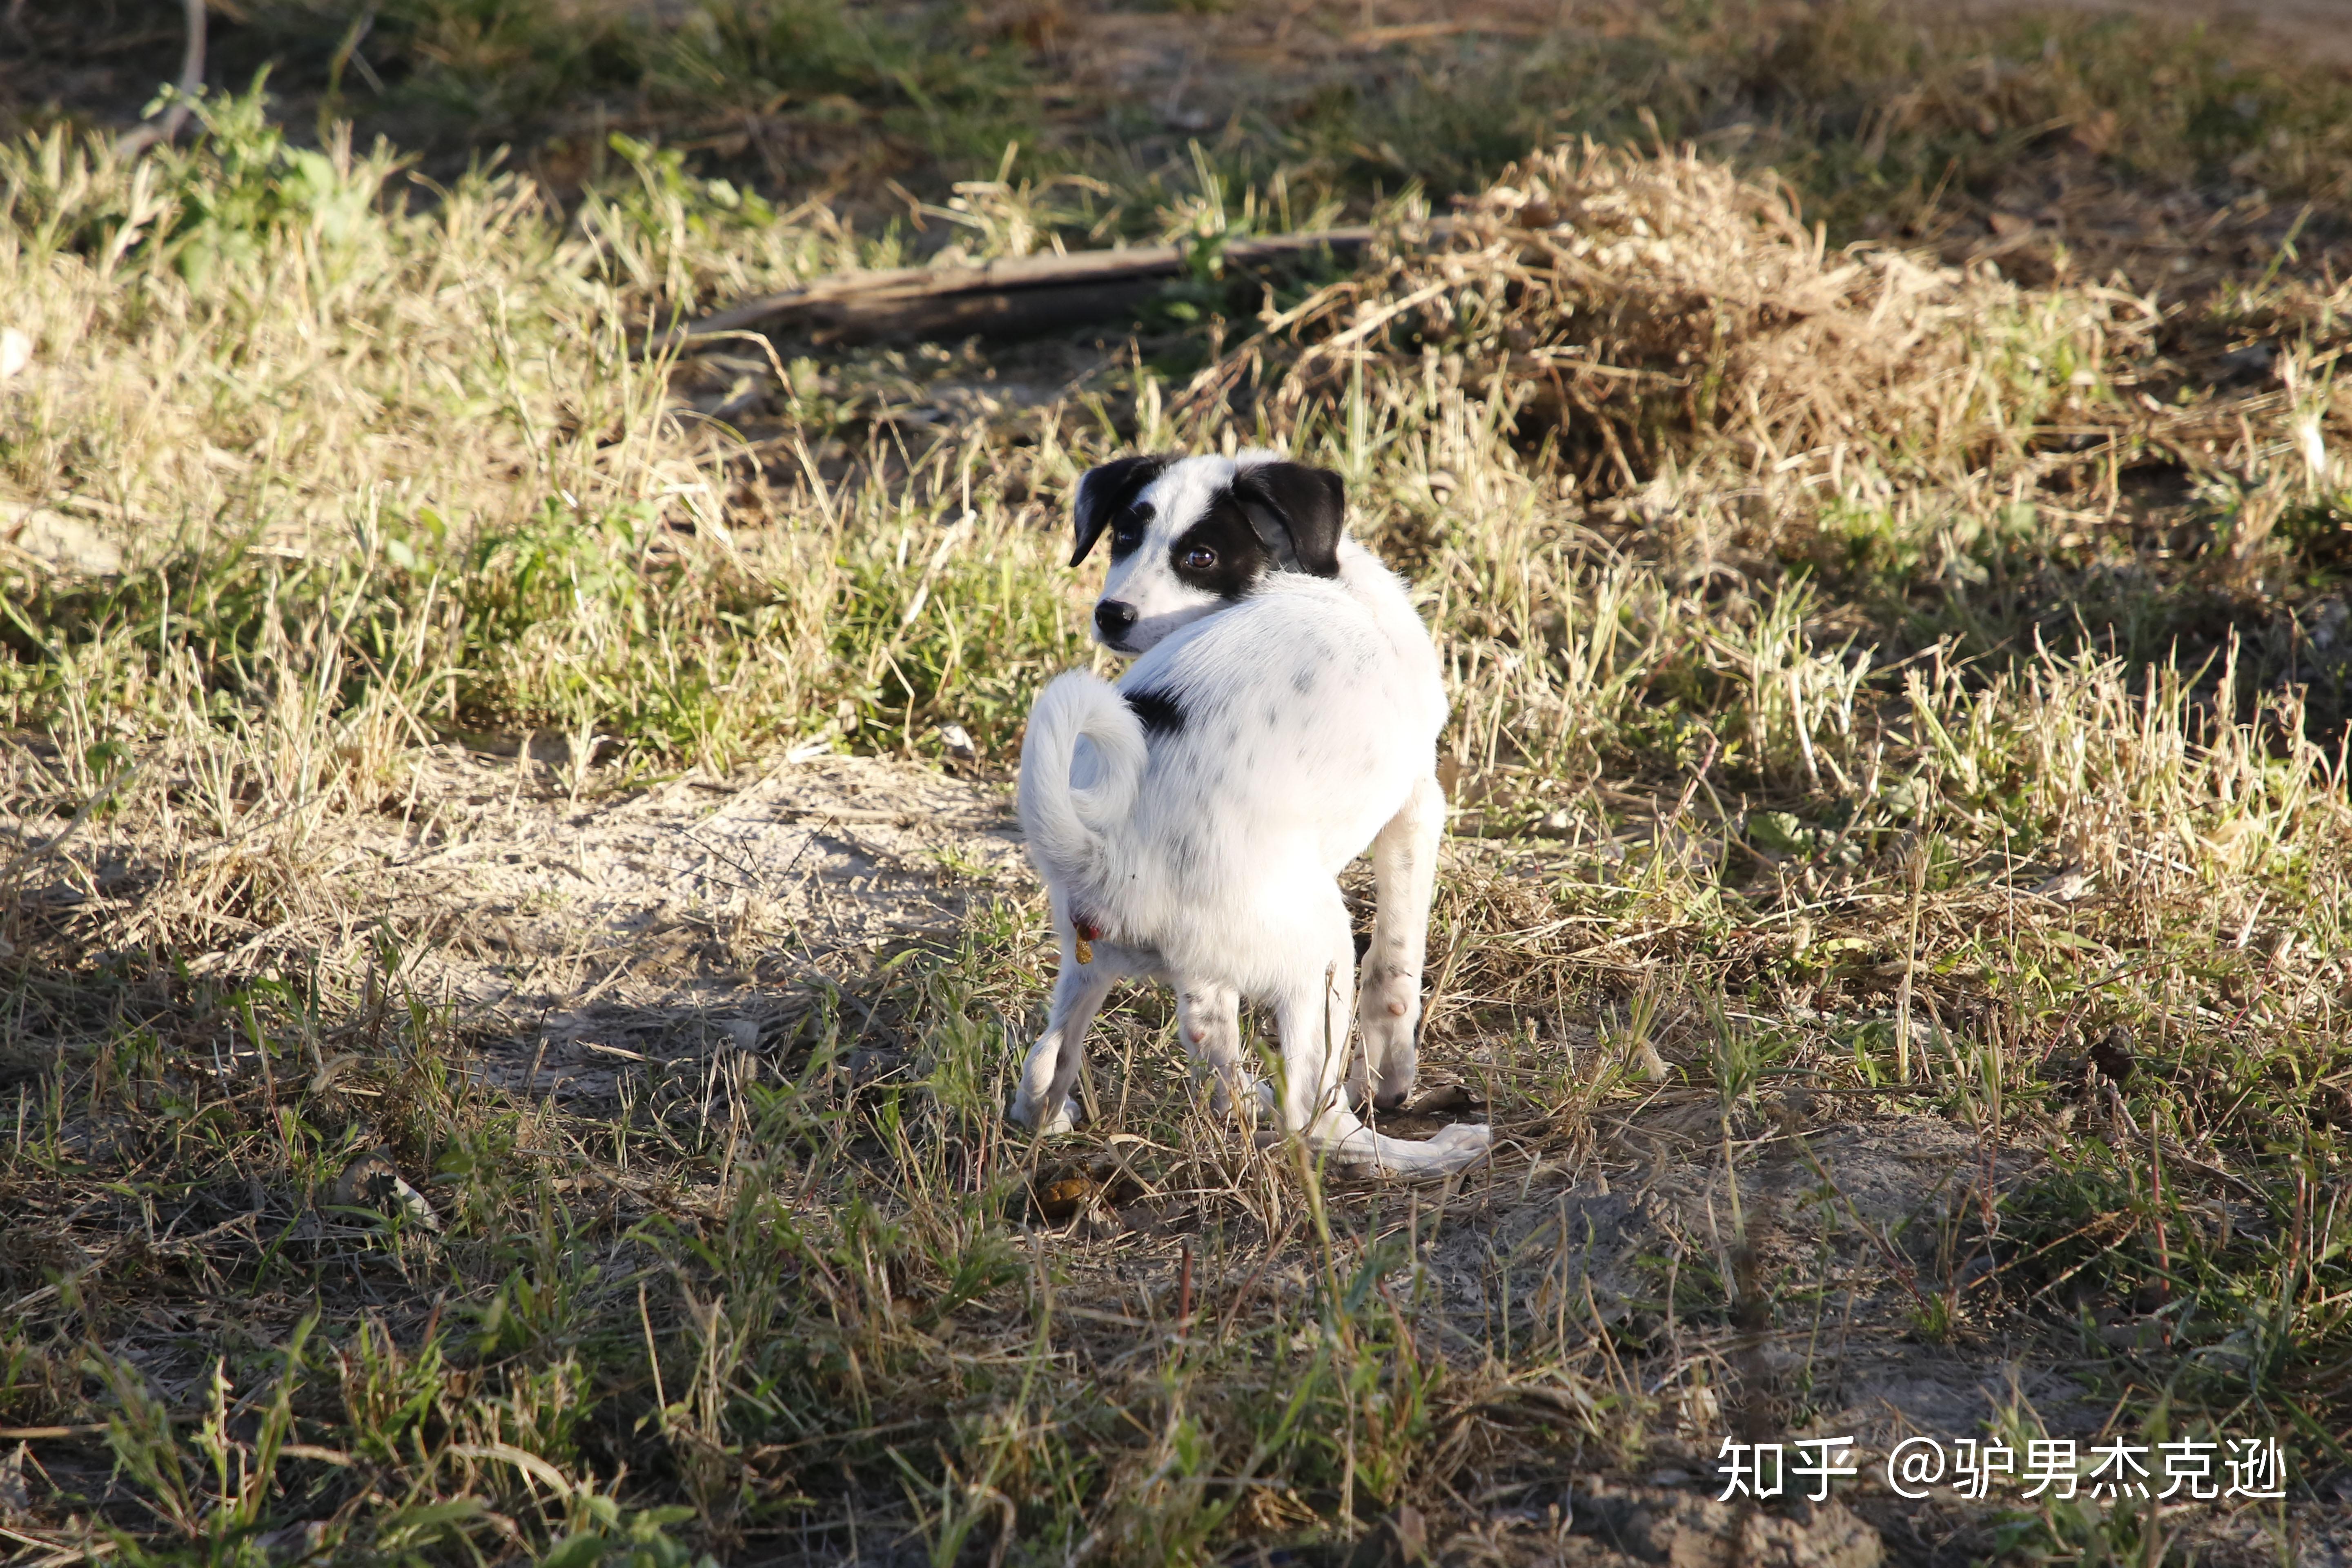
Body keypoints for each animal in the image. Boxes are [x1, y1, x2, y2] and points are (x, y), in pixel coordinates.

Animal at [1007, 446, 1486, 1171]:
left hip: (1100, 961)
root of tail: (1105, 851)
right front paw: (1392, 1076)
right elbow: (1398, 962)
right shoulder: (1416, 805)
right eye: (1126, 536)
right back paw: (1431, 1153)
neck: (1321, 579)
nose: (1112, 613)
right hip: (1321, 949)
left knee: (1051, 1066)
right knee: (1314, 1118)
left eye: (1200, 557)